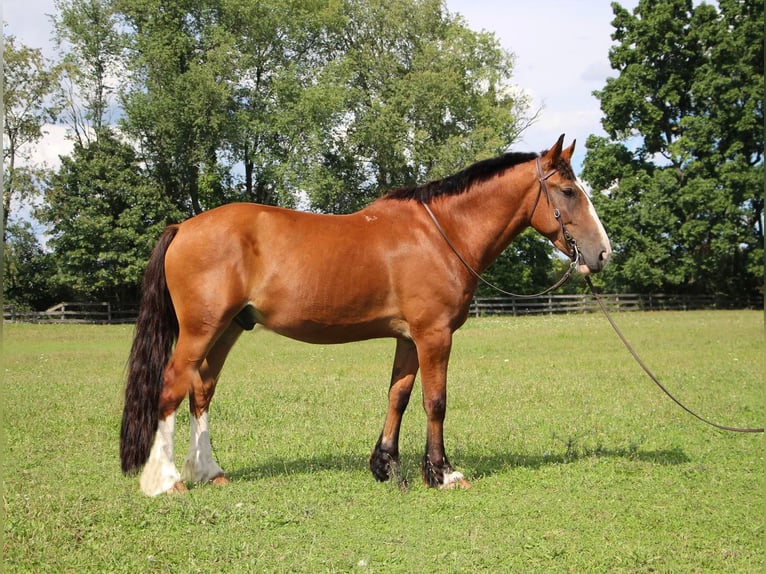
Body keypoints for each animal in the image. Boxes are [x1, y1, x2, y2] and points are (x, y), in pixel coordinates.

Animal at [120, 134, 612, 496]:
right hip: (200, 330)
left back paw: (209, 471)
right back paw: (166, 481)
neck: (441, 235)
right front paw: (443, 473)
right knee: (171, 388)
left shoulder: (409, 338)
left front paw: (387, 466)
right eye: (568, 191)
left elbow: (398, 396)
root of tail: (183, 227)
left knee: (201, 392)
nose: (602, 253)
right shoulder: (434, 335)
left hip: (226, 331)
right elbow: (435, 401)